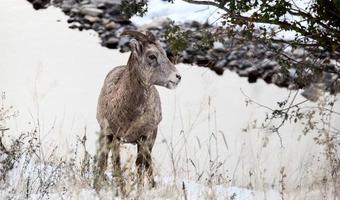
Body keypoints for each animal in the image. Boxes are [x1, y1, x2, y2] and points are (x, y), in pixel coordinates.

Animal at [94, 30, 181, 191]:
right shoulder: (114, 136)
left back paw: (152, 186)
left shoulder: (144, 137)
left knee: (148, 164)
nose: (177, 77)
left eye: (164, 54)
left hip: (151, 140)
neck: (130, 114)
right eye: (152, 56)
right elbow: (116, 166)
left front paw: (139, 191)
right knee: (103, 161)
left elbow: (140, 166)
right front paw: (120, 190)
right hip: (106, 136)